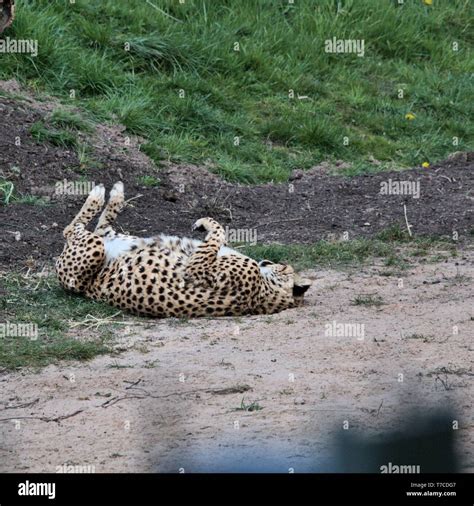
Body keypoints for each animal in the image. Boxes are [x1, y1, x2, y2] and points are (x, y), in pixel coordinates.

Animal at [55, 182, 312, 316]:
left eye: (283, 266)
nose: (268, 261)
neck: (268, 291)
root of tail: (88, 290)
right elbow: (217, 237)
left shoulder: (198, 269)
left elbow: (219, 232)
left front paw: (205, 222)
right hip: (114, 240)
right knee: (100, 226)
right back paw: (115, 193)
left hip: (91, 252)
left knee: (71, 229)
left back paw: (98, 194)